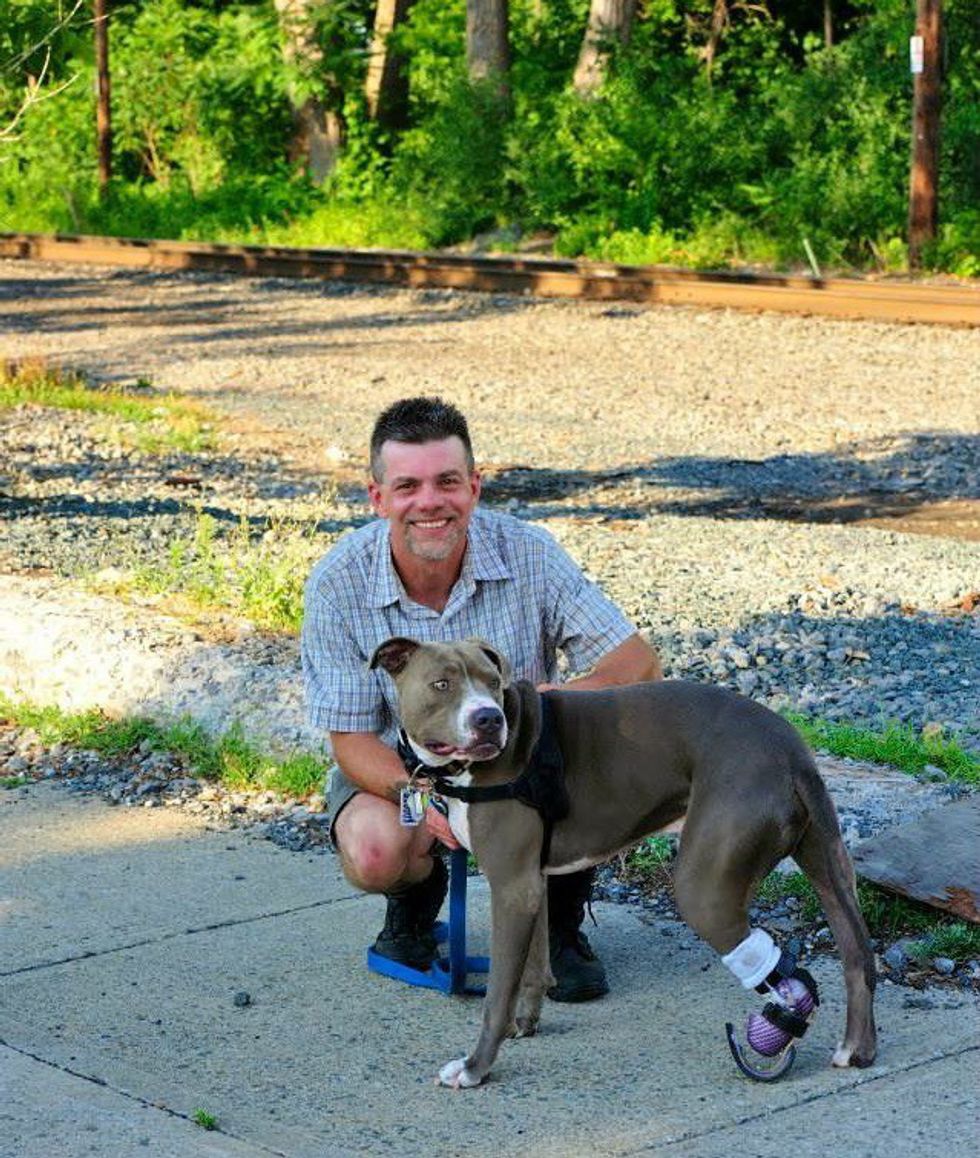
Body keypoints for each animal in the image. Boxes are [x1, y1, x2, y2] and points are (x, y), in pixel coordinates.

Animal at [370, 636, 877, 1089]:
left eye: (493, 683)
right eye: (441, 684)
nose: (489, 719)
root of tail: (790, 750)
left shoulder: (512, 887)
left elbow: (497, 991)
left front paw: (476, 1068)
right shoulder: (529, 885)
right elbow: (532, 967)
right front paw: (524, 1025)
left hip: (705, 886)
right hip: (827, 861)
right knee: (857, 952)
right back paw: (858, 1048)